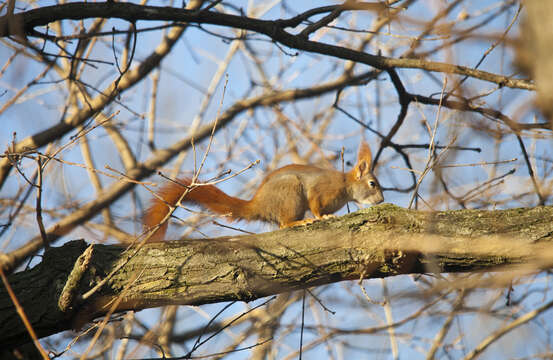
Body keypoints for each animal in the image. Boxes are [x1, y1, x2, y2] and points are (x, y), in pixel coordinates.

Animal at [143, 142, 384, 240]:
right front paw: (321, 216)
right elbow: (316, 205)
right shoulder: (320, 190)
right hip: (291, 193)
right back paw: (301, 222)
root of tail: (258, 204)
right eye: (373, 184)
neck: (345, 186)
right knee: (285, 224)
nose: (381, 200)